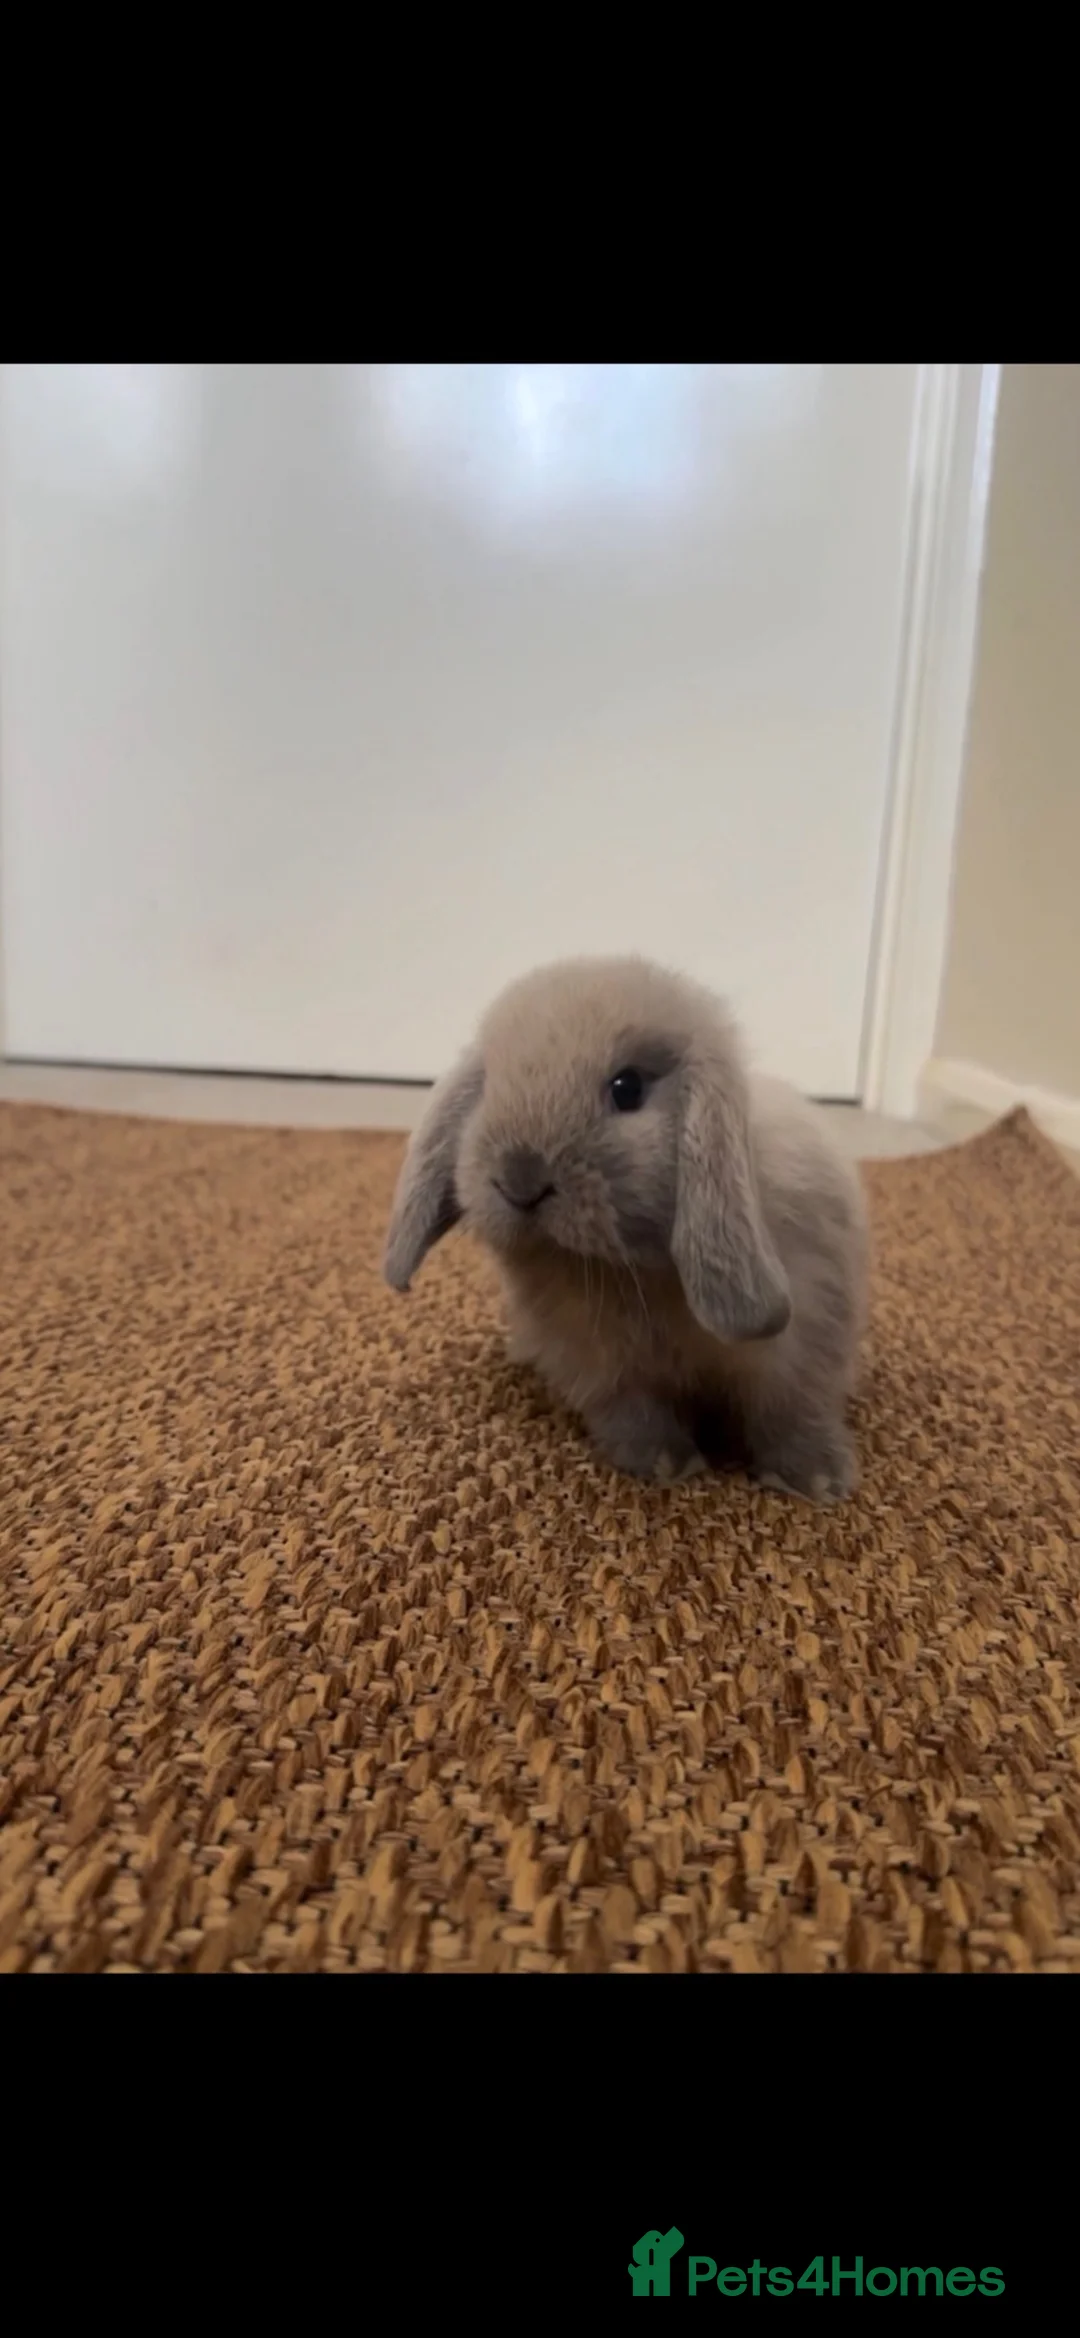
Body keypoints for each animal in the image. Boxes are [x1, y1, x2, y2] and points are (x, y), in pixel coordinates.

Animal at [383, 956, 869, 1501]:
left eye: (627, 1088)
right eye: (487, 1087)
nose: (519, 1180)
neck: (635, 1269)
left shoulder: (802, 1347)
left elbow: (794, 1413)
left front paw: (817, 1482)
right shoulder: (604, 1367)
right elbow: (636, 1414)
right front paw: (666, 1465)